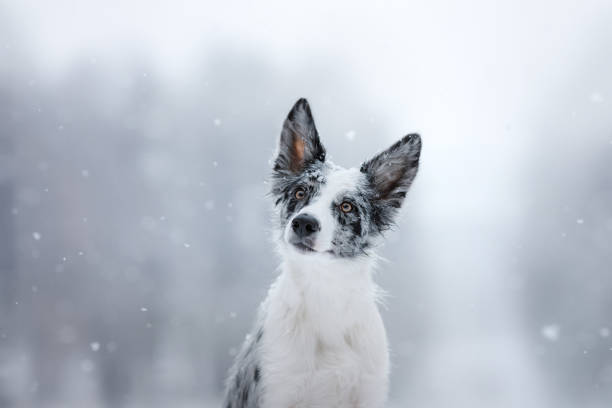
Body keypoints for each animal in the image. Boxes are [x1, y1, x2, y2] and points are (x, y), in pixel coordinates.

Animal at [224, 97, 420, 406]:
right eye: (300, 193)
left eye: (347, 206)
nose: (304, 223)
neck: (325, 292)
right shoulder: (276, 388)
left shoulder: (368, 390)